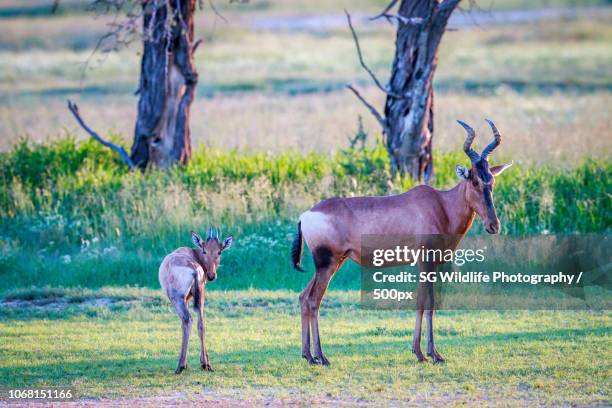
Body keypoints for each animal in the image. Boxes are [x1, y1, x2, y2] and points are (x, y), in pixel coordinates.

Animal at [159, 228, 233, 374]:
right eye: (205, 250)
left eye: (219, 251)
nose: (211, 275)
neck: (193, 253)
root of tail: (193, 268)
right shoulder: (192, 297)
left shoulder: (184, 299)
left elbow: (183, 324)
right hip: (200, 296)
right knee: (201, 323)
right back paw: (206, 365)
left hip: (177, 299)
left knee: (187, 320)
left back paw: (180, 366)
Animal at [292, 118, 512, 364]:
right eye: (474, 181)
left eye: (491, 180)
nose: (494, 225)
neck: (441, 204)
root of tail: (306, 215)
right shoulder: (425, 261)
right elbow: (427, 302)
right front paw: (428, 354)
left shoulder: (432, 263)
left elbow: (426, 302)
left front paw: (425, 352)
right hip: (327, 264)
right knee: (314, 301)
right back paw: (321, 357)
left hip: (332, 263)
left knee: (304, 297)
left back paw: (308, 355)